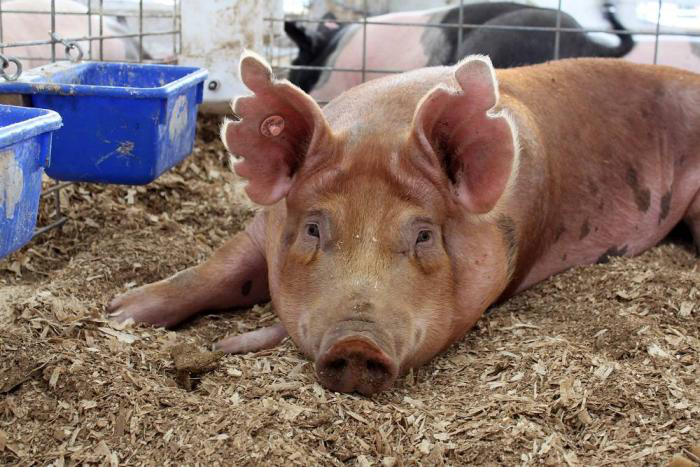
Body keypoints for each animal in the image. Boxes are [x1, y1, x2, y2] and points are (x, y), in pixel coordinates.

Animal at [108, 51, 700, 395]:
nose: (356, 343)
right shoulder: (263, 227)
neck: (383, 125)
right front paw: (119, 313)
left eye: (423, 235)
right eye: (314, 229)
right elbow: (217, 269)